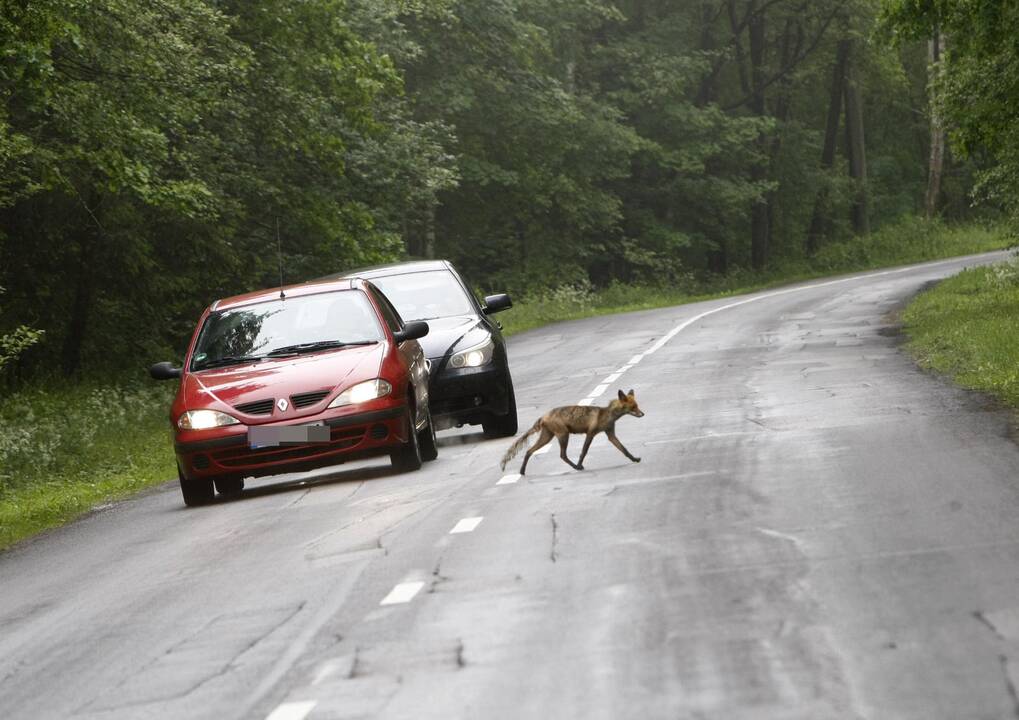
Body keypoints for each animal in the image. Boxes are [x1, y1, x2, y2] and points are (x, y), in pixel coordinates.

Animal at [501, 391, 644, 476]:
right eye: (633, 407)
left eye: (637, 405)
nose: (643, 414)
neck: (607, 415)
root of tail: (544, 416)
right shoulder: (590, 433)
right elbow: (583, 452)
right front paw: (580, 464)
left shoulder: (610, 434)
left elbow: (624, 449)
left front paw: (635, 459)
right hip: (563, 434)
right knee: (562, 455)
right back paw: (576, 467)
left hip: (547, 437)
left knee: (529, 451)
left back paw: (522, 471)